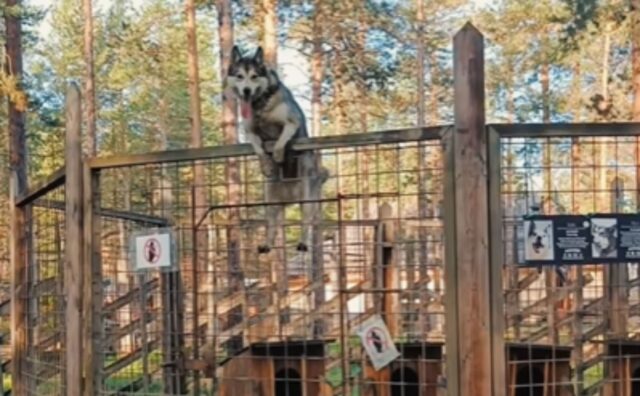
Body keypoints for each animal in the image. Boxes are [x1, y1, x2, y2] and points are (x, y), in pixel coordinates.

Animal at [225, 46, 328, 255]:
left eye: (254, 76)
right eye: (239, 76)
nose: (246, 91)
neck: (260, 106)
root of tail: (288, 198)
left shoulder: (292, 123)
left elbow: (281, 141)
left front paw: (279, 155)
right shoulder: (250, 132)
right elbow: (259, 149)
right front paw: (266, 165)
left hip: (307, 198)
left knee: (306, 222)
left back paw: (303, 242)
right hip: (270, 201)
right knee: (273, 225)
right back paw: (267, 244)